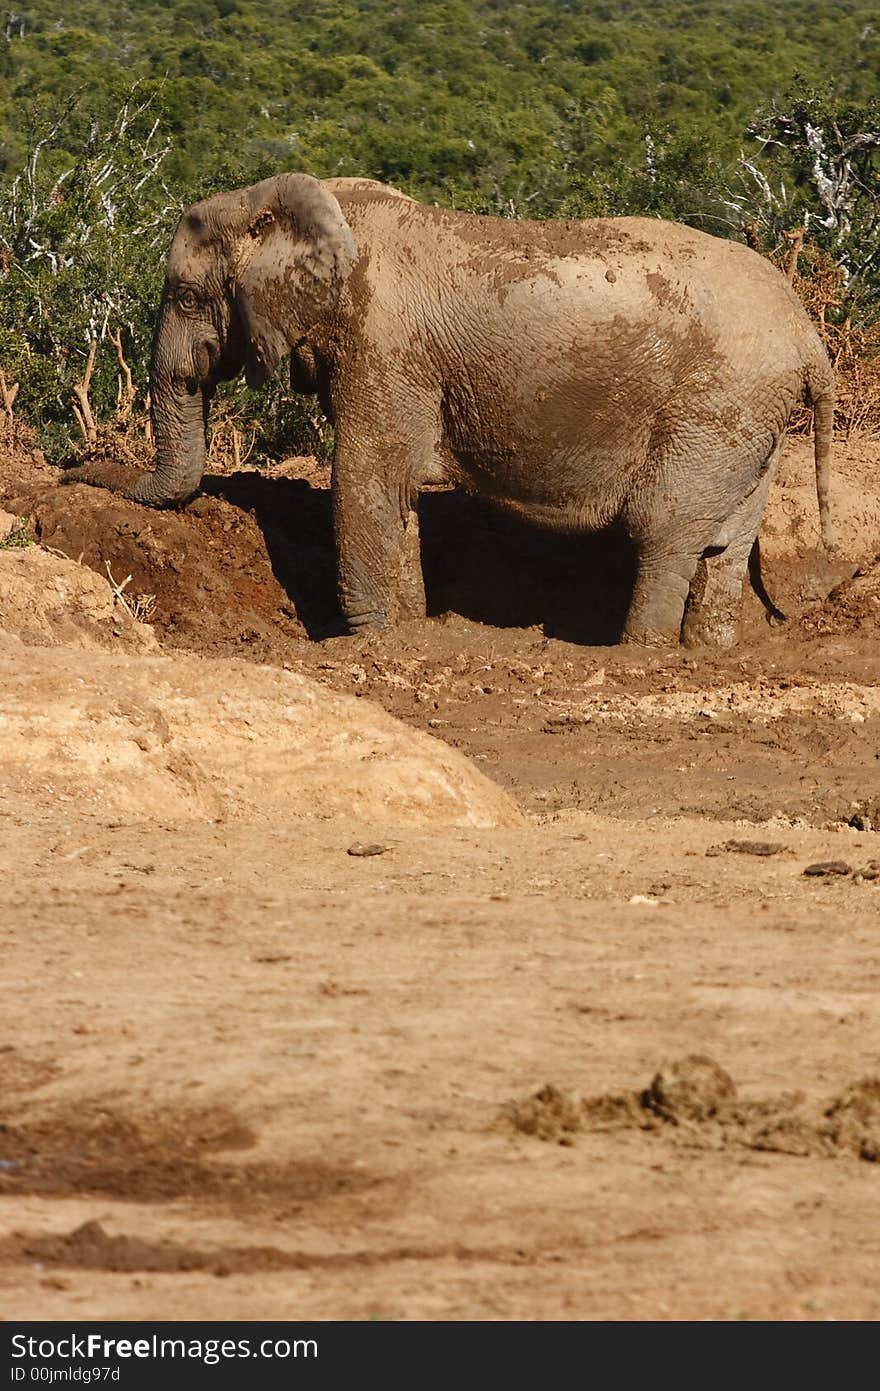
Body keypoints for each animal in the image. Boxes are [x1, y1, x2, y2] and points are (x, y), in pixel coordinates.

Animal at [68, 172, 828, 645]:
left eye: (188, 297)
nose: (76, 470)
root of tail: (807, 335)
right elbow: (393, 493)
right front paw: (407, 629)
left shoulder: (383, 342)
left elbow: (367, 479)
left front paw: (370, 639)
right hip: (750, 418)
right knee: (727, 541)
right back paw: (706, 650)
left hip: (715, 404)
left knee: (664, 530)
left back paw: (640, 651)